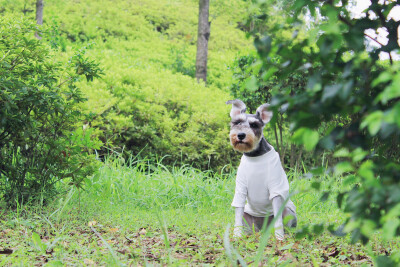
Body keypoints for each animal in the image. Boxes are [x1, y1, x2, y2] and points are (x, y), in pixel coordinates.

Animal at [227, 100, 296, 241]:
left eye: (254, 125)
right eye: (237, 122)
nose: (241, 135)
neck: (254, 156)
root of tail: (262, 229)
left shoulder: (275, 189)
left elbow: (278, 219)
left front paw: (279, 238)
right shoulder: (241, 189)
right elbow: (237, 214)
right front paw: (237, 236)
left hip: (288, 212)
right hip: (248, 219)